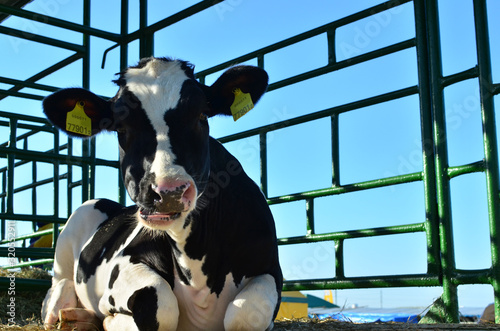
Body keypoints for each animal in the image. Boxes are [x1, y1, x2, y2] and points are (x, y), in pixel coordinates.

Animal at [41, 57, 284, 331]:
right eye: (121, 127)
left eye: (201, 115)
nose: (169, 191)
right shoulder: (127, 262)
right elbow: (161, 304)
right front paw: (113, 320)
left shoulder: (270, 269)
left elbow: (244, 313)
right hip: (72, 232)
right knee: (59, 285)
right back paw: (65, 313)